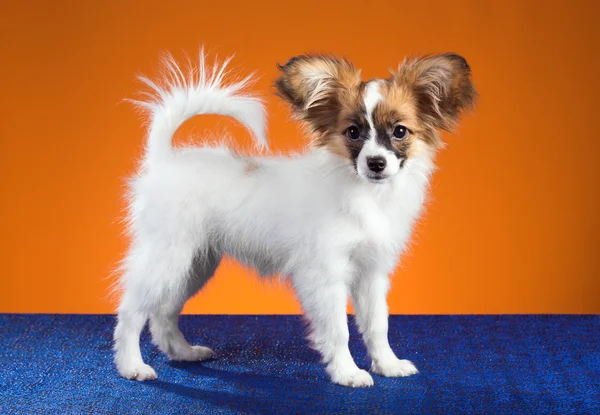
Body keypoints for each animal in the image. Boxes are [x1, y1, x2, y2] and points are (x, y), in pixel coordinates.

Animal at [113, 50, 478, 388]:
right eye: (353, 132)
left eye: (400, 132)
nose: (375, 163)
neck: (364, 194)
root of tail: (164, 161)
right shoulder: (323, 274)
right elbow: (339, 329)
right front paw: (347, 373)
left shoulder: (371, 272)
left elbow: (378, 324)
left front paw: (387, 365)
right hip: (168, 256)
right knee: (131, 311)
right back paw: (132, 366)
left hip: (195, 264)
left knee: (163, 311)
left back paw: (183, 352)